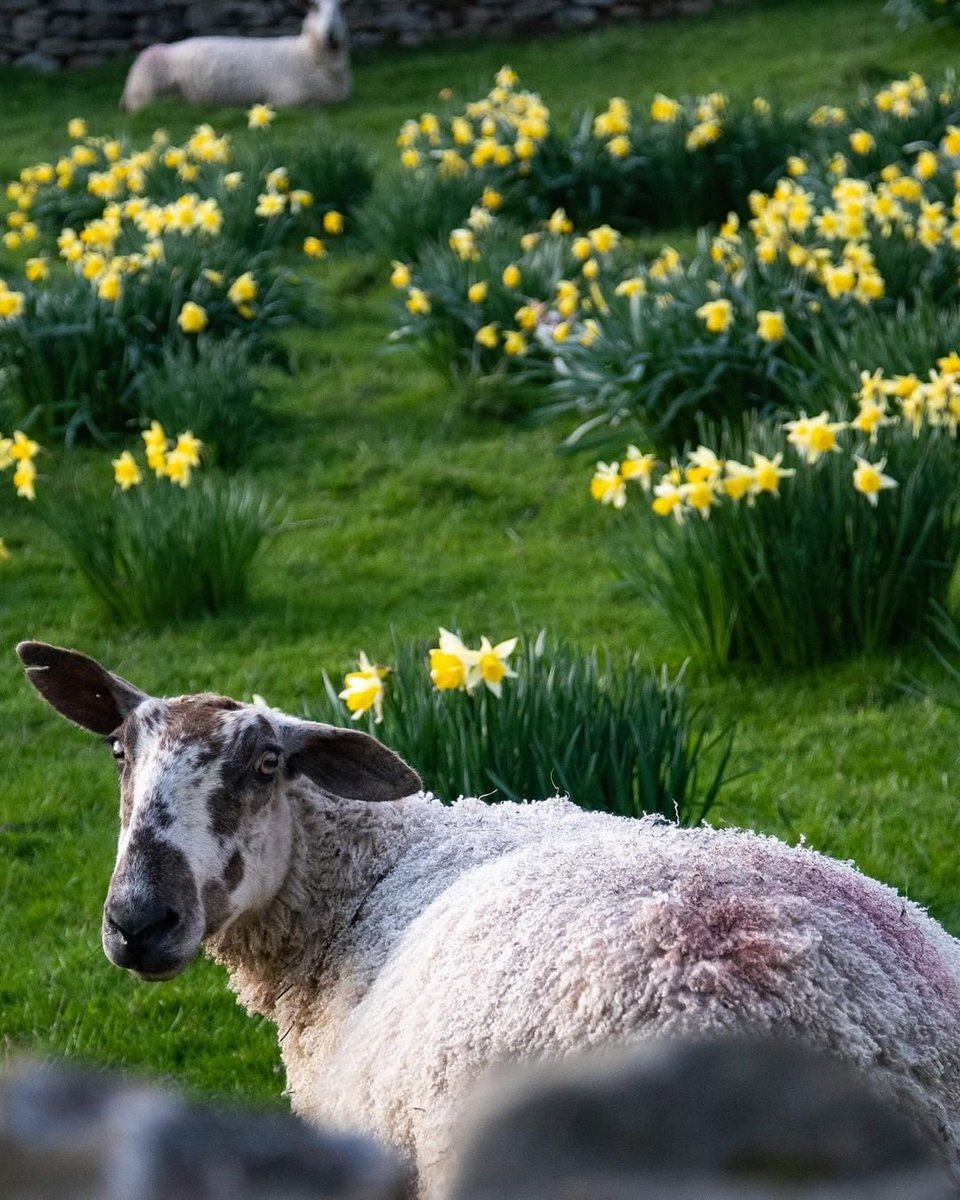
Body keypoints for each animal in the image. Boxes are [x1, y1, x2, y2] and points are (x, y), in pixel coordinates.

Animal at [120, 0, 352, 113]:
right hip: (148, 91)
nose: (330, 33)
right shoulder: (287, 99)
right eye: (315, 7)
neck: (307, 54)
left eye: (341, 7)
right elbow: (312, 106)